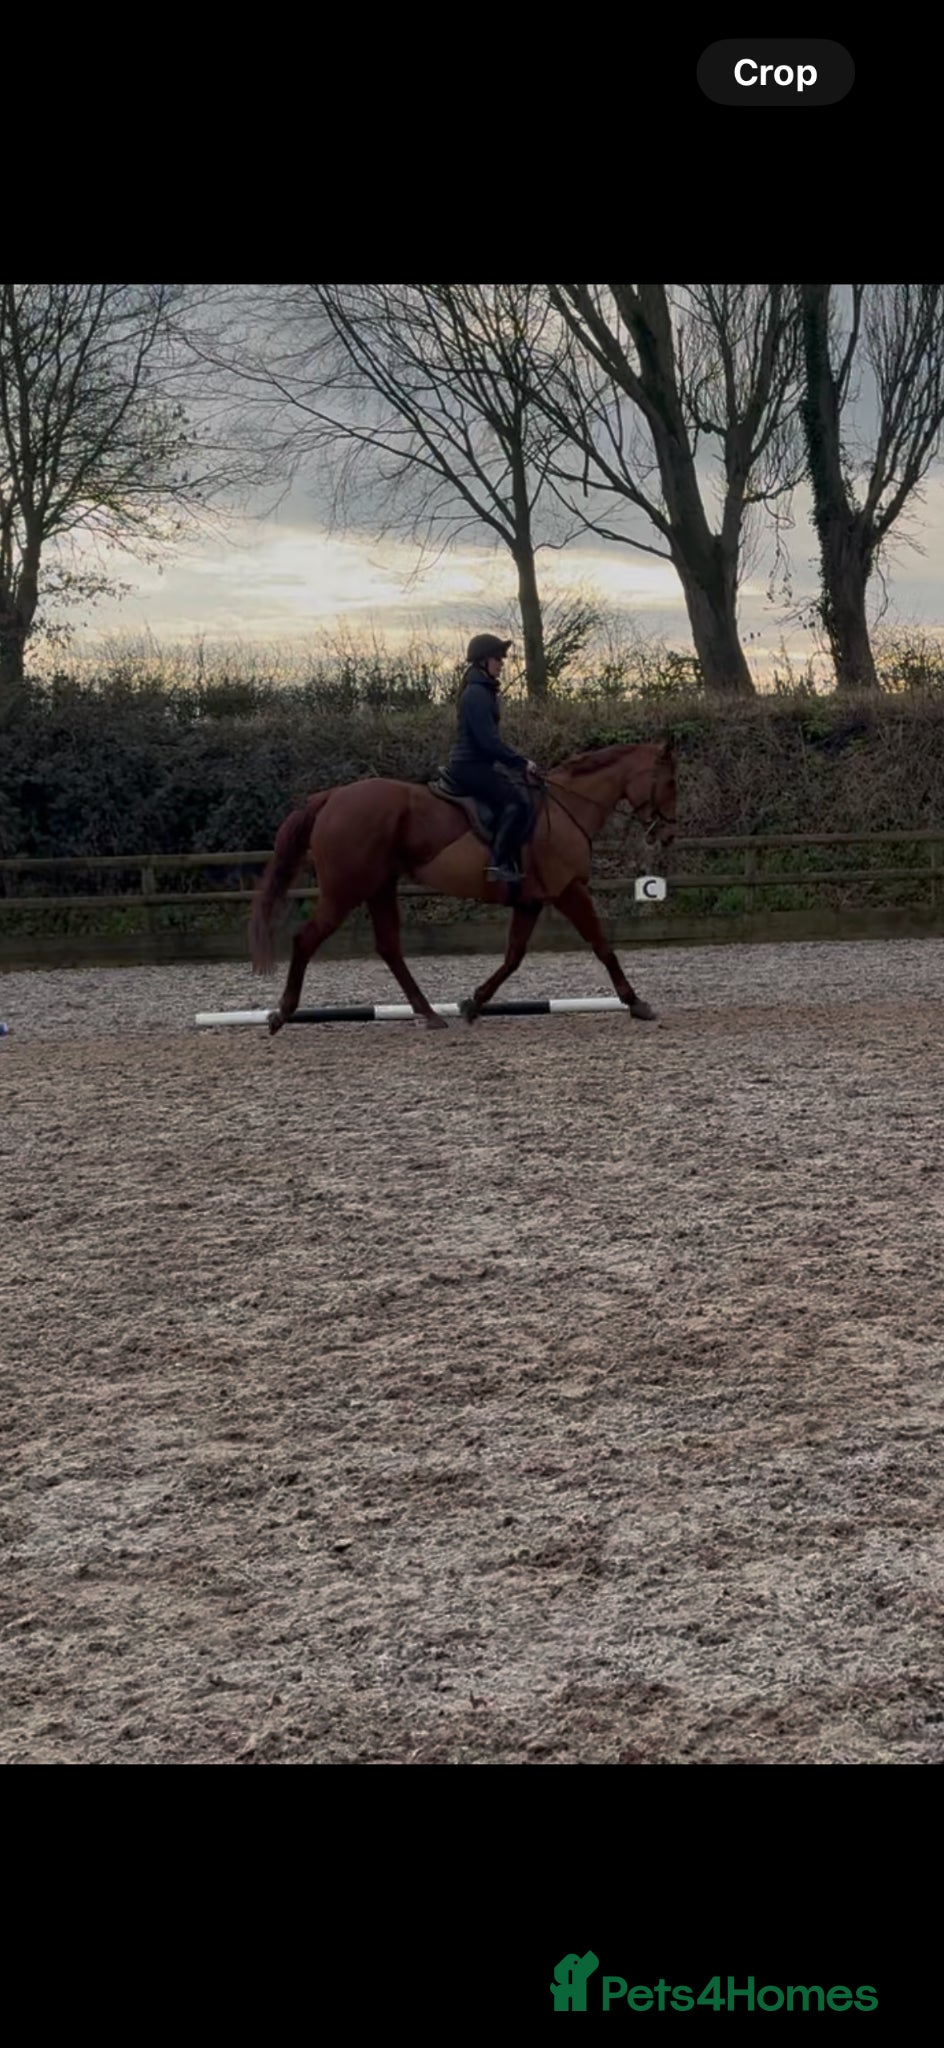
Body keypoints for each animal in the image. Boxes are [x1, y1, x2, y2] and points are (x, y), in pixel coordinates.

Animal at [249, 740, 677, 1033]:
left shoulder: (531, 901)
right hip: (345, 891)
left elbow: (513, 957)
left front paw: (473, 1003)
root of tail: (331, 796)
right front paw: (635, 1002)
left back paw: (429, 1013)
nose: (668, 835)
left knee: (389, 947)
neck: (566, 808)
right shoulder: (568, 889)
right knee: (307, 939)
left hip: (379, 887)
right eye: (670, 782)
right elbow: (602, 945)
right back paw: (282, 1014)